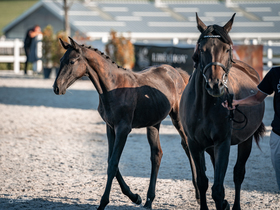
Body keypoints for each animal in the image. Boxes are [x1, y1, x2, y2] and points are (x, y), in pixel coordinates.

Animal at [52, 37, 191, 209]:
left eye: (71, 61)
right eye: (60, 60)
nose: (57, 87)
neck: (113, 87)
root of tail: (176, 72)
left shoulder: (123, 129)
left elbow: (113, 164)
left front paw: (103, 202)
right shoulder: (110, 128)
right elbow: (111, 161)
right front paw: (135, 197)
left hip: (177, 119)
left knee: (187, 146)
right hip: (153, 123)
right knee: (157, 154)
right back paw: (148, 200)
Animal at [179, 13, 264, 210]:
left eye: (226, 49)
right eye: (202, 49)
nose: (214, 85)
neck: (204, 107)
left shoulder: (222, 143)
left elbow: (218, 189)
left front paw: (223, 202)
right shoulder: (195, 144)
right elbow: (202, 182)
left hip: (246, 141)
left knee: (238, 173)